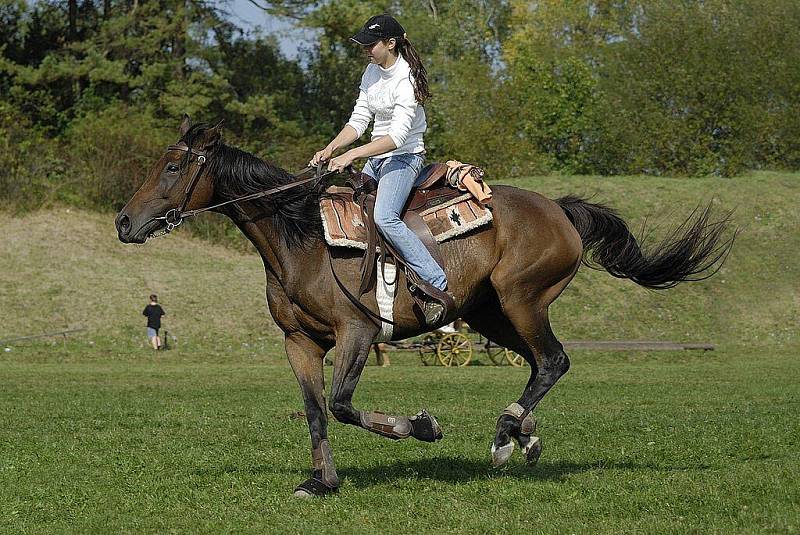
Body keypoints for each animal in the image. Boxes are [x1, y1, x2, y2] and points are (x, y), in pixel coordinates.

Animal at [115, 117, 736, 498]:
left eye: (174, 168)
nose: (124, 221)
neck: (302, 237)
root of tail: (558, 209)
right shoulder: (300, 342)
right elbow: (316, 412)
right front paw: (321, 482)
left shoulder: (358, 331)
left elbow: (343, 404)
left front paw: (418, 426)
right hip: (490, 314)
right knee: (539, 362)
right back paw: (526, 434)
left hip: (522, 299)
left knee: (554, 360)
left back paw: (505, 433)